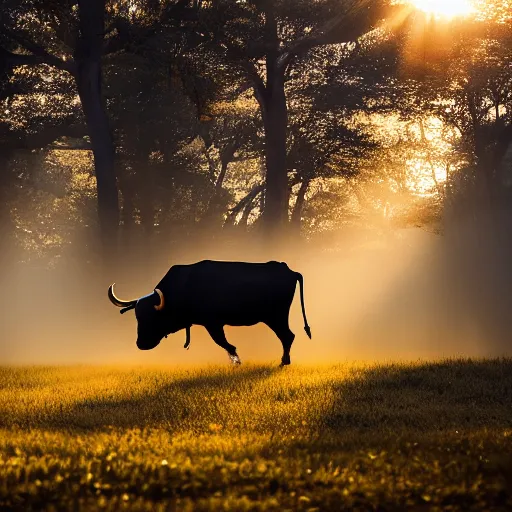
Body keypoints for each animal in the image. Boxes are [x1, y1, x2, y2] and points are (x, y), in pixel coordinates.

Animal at [107, 262, 312, 366]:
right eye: (137, 317)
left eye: (153, 318)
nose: (141, 344)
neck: (184, 287)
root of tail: (289, 270)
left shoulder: (213, 323)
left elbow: (224, 343)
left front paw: (236, 360)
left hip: (276, 317)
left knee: (287, 336)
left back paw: (284, 362)